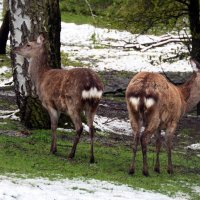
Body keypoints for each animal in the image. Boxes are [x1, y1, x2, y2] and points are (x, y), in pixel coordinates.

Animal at [13, 34, 103, 162]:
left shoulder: (49, 103)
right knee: (91, 128)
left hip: (73, 104)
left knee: (79, 127)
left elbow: (53, 126)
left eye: (28, 44)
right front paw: (54, 148)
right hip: (94, 105)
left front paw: (53, 149)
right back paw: (91, 158)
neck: (40, 79)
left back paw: (71, 154)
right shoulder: (59, 107)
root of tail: (92, 83)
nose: (15, 48)